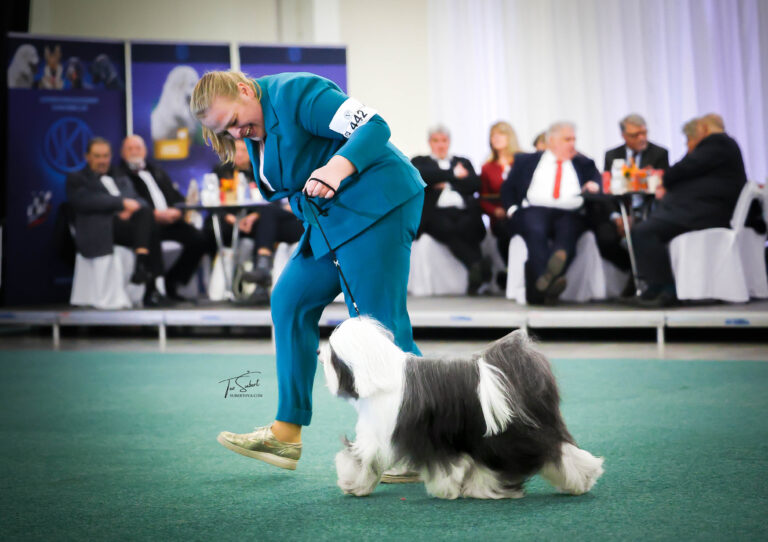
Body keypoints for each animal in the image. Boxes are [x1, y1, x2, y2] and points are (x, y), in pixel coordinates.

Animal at [320, 318, 608, 502]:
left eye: (332, 350)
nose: (318, 353)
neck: (379, 376)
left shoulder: (391, 436)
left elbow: (362, 460)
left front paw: (352, 484)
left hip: (504, 435)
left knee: (521, 459)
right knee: (562, 450)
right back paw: (584, 479)